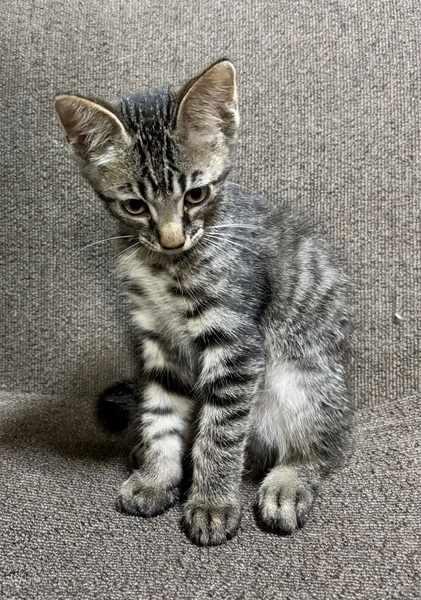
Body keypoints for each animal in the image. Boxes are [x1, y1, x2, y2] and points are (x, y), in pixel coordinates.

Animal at [54, 59, 352, 546]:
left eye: (196, 194)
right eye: (134, 206)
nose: (172, 239)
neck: (162, 266)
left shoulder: (236, 343)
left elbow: (221, 431)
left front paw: (212, 503)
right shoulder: (157, 340)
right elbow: (161, 411)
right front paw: (158, 477)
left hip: (303, 378)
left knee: (321, 447)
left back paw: (287, 484)